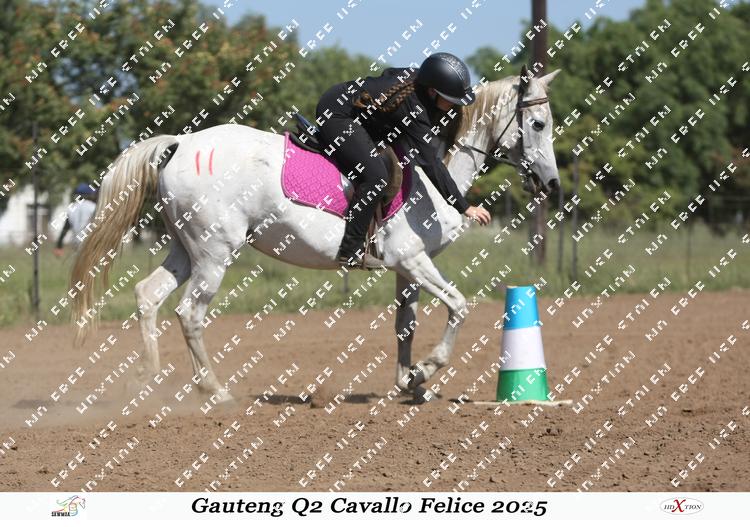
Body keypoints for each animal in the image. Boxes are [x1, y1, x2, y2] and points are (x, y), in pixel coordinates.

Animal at [70, 65, 561, 404]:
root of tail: (180, 144)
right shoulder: (413, 260)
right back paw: (215, 390)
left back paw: (147, 380)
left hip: (186, 249)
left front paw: (409, 383)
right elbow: (459, 306)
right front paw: (425, 371)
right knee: (190, 314)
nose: (552, 185)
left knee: (148, 296)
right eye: (538, 125)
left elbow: (405, 325)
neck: (428, 179)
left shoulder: (406, 269)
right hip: (214, 253)